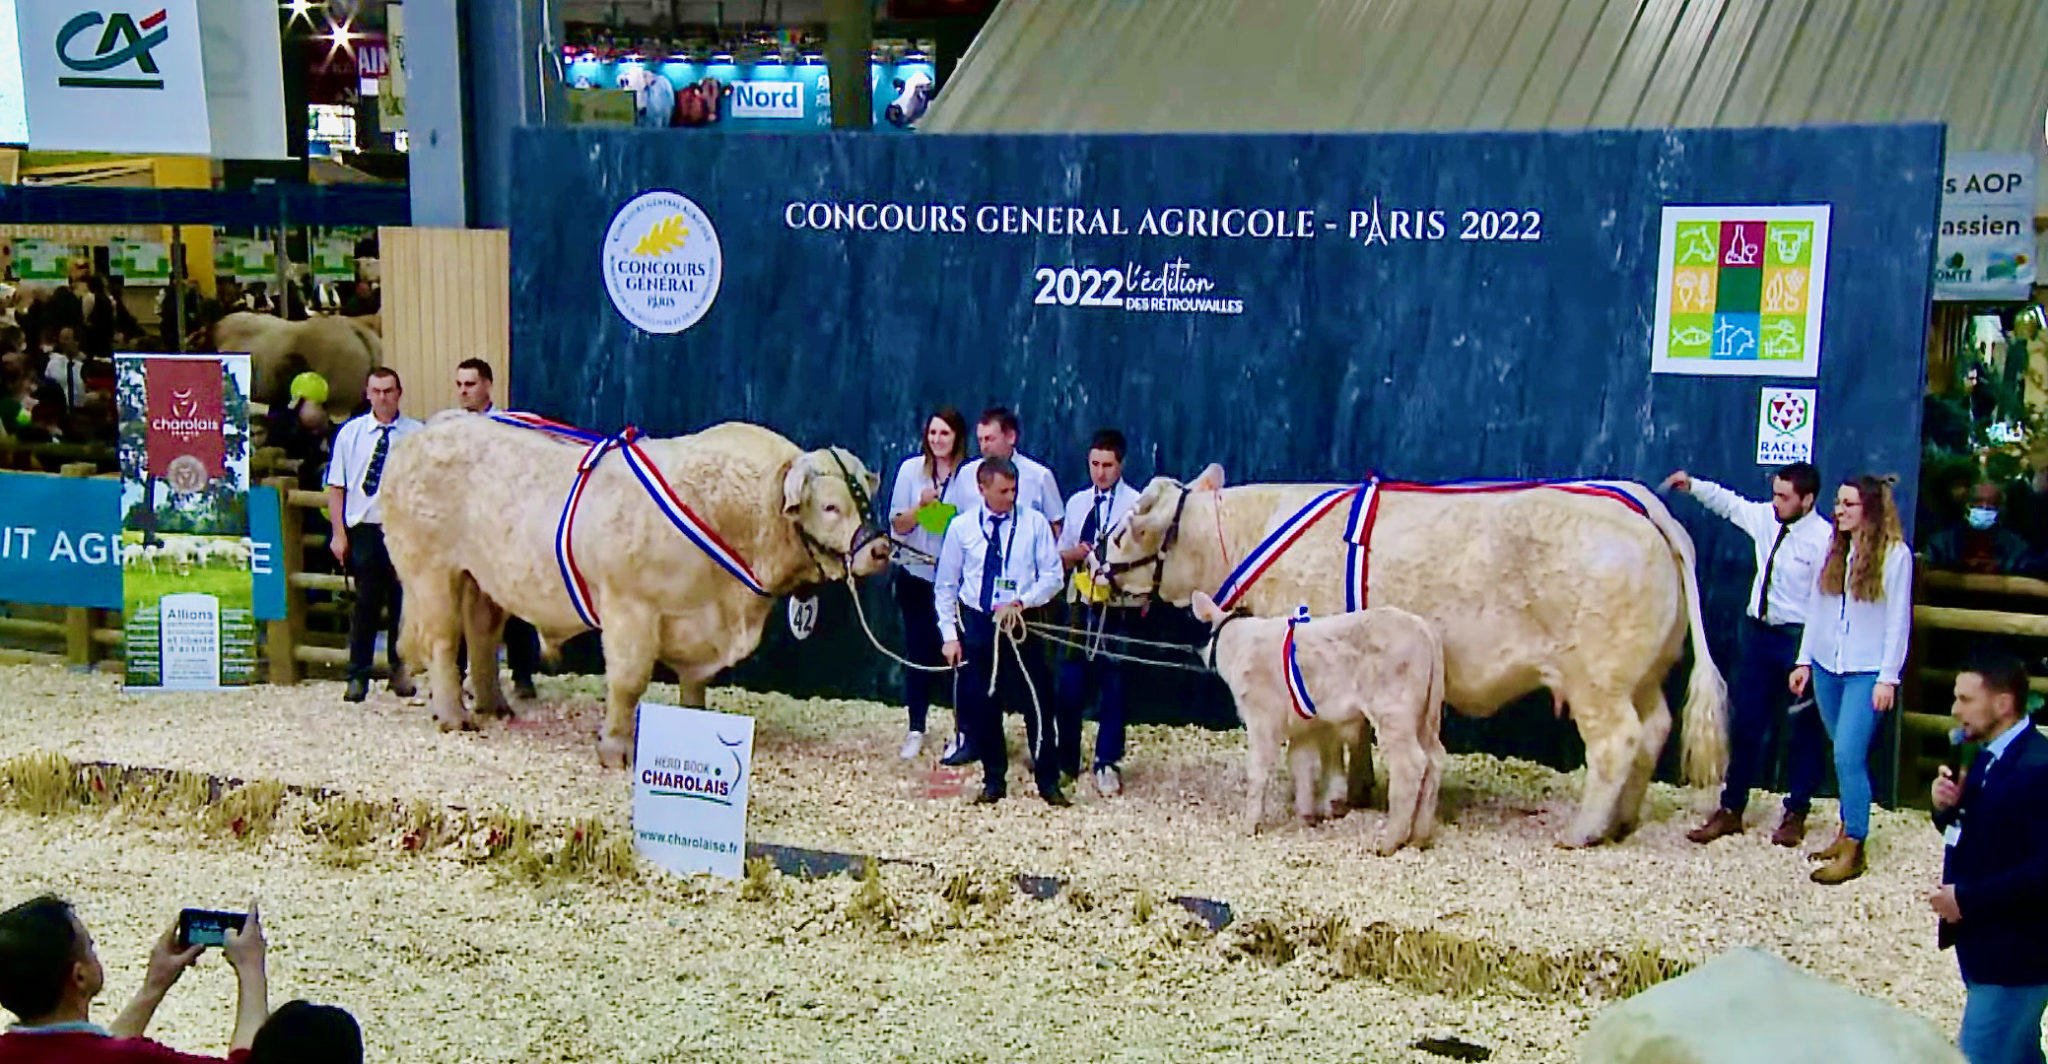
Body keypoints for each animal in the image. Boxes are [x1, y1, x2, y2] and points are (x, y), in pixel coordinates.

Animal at [380, 411, 892, 769]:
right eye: (830, 506)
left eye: (868, 499)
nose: (881, 549)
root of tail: (423, 433)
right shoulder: (630, 608)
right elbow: (628, 682)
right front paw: (616, 749)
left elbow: (695, 683)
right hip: (430, 569)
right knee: (443, 640)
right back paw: (454, 716)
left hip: (481, 579)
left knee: (482, 635)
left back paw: (494, 706)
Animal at [1196, 589, 1449, 855]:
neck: (1240, 645)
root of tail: (1423, 628)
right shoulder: (1303, 727)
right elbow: (1301, 764)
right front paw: (1304, 818)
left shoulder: (1262, 716)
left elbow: (1258, 769)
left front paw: (1248, 825)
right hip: (1426, 716)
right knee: (1433, 758)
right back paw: (1419, 837)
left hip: (1394, 711)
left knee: (1410, 763)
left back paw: (1388, 842)